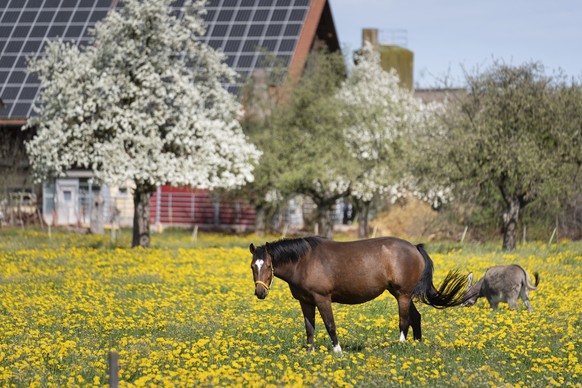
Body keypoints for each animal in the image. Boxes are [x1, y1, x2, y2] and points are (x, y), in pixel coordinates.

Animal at [251, 235, 470, 354]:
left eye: (268, 265)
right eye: (253, 266)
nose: (260, 293)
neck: (304, 261)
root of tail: (414, 248)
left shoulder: (322, 299)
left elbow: (330, 325)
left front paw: (338, 351)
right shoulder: (306, 302)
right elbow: (309, 328)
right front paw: (310, 352)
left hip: (403, 294)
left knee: (404, 320)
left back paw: (401, 344)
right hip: (401, 294)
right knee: (416, 317)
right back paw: (416, 345)